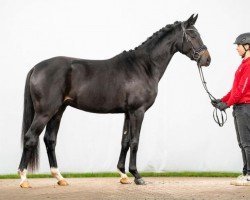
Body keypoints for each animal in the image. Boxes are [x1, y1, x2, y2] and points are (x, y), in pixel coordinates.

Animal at [17, 14, 210, 188]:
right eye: (193, 35)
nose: (207, 59)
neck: (143, 66)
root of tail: (35, 68)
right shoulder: (137, 111)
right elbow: (135, 141)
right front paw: (137, 176)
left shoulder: (127, 113)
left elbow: (125, 141)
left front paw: (123, 175)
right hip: (45, 112)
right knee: (30, 137)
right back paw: (24, 178)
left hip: (58, 111)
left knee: (50, 140)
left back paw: (60, 178)